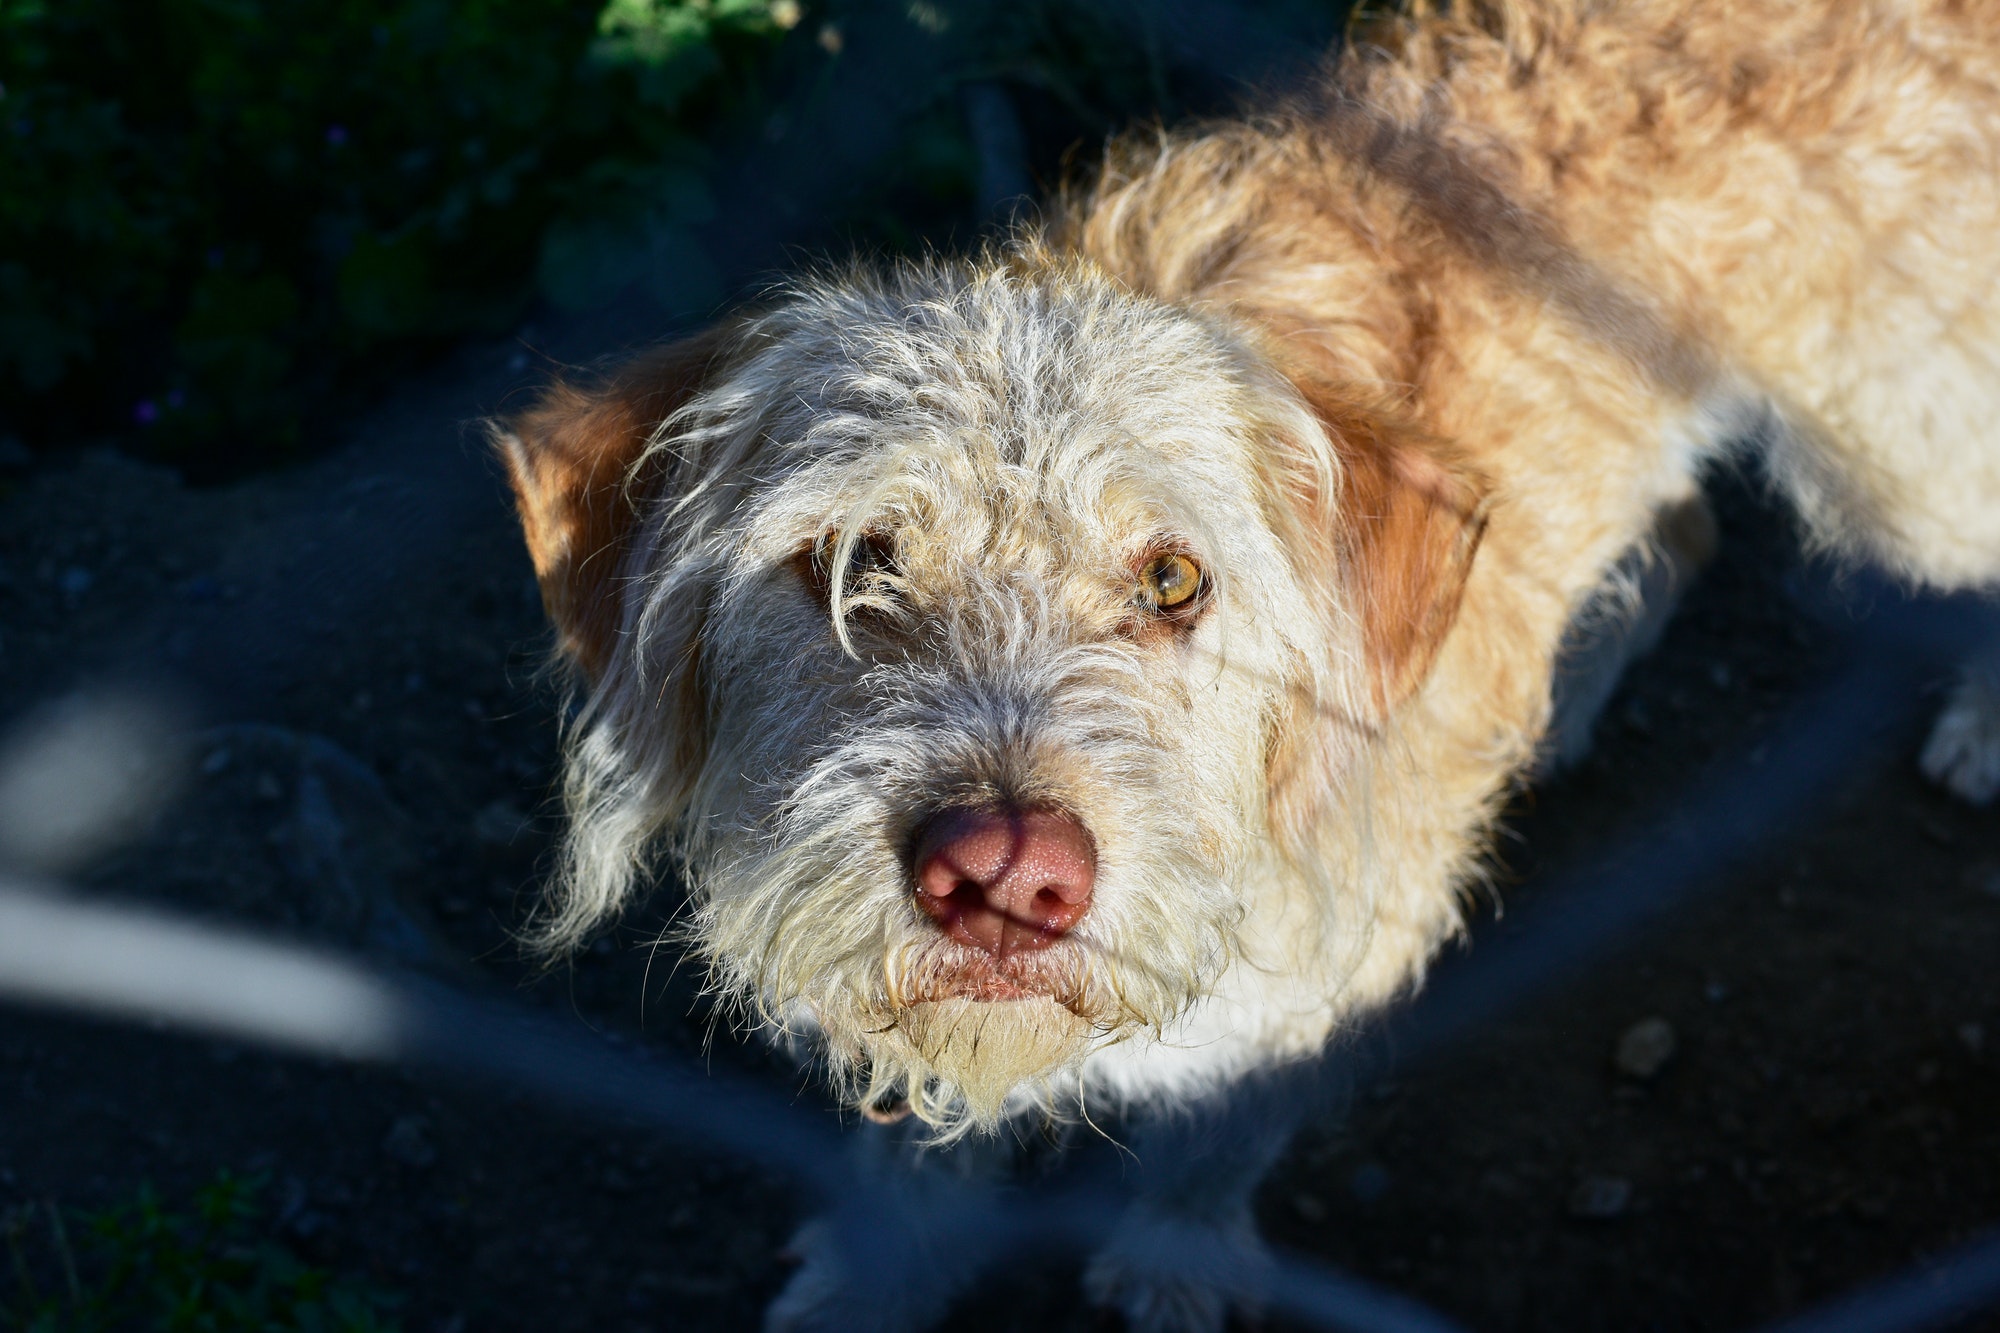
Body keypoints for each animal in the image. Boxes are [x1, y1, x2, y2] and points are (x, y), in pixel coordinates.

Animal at [492, 5, 2000, 1320]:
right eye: (855, 563)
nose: (1003, 878)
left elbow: (1218, 1132)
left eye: (1172, 580)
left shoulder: (1326, 969)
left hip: (1907, 452)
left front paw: (1172, 1262)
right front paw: (875, 1282)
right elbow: (913, 1142)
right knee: (1679, 527)